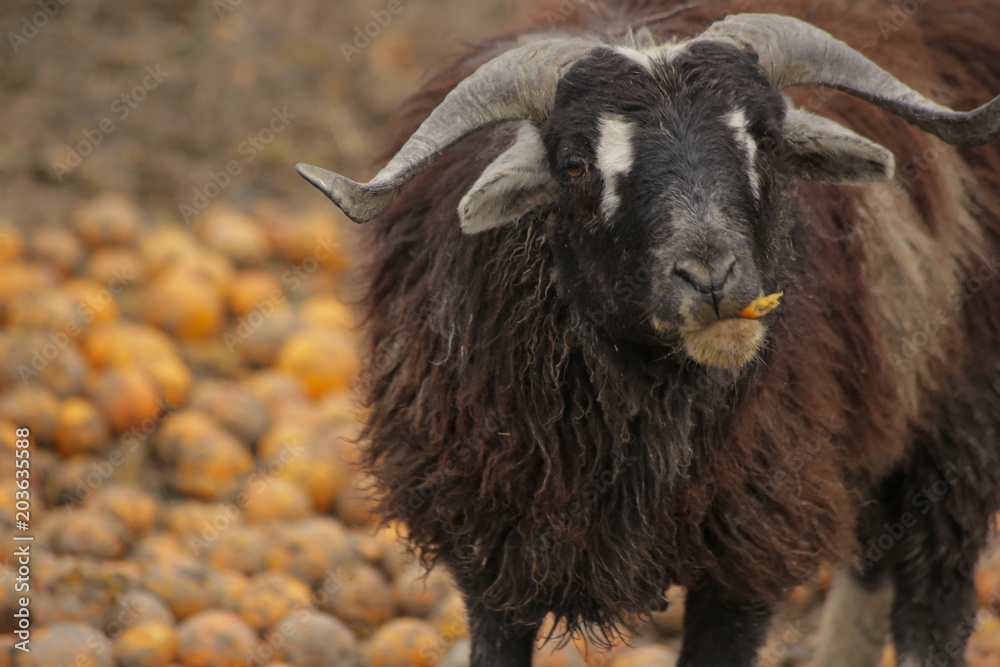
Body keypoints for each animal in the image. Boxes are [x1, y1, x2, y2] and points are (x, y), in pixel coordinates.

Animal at [297, 1, 1000, 665]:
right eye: (574, 164)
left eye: (768, 140)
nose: (712, 280)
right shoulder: (491, 548)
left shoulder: (751, 548)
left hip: (957, 427)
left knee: (931, 603)